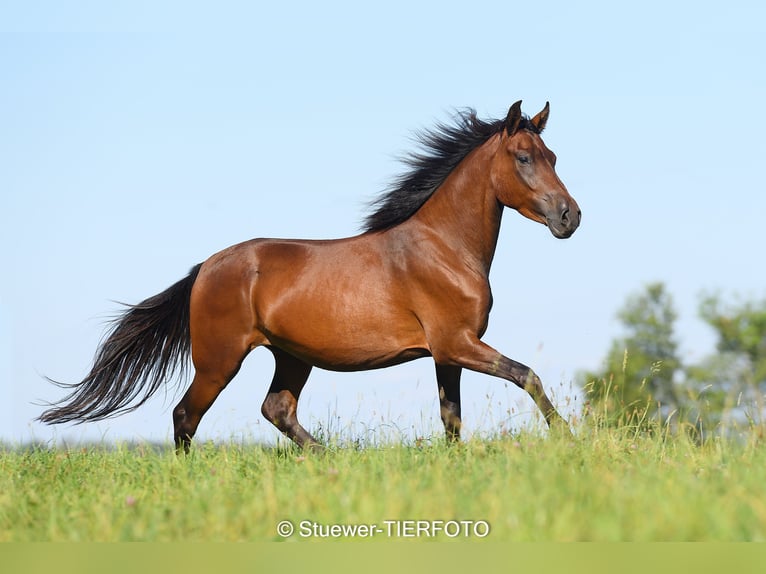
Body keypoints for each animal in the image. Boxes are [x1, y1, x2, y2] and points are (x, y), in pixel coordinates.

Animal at [39, 101, 581, 452]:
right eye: (524, 157)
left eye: (554, 158)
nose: (569, 216)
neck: (445, 249)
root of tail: (207, 267)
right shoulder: (458, 344)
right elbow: (528, 377)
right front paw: (569, 439)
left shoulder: (447, 353)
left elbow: (452, 421)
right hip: (219, 360)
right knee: (185, 415)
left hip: (292, 356)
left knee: (277, 410)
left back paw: (331, 458)